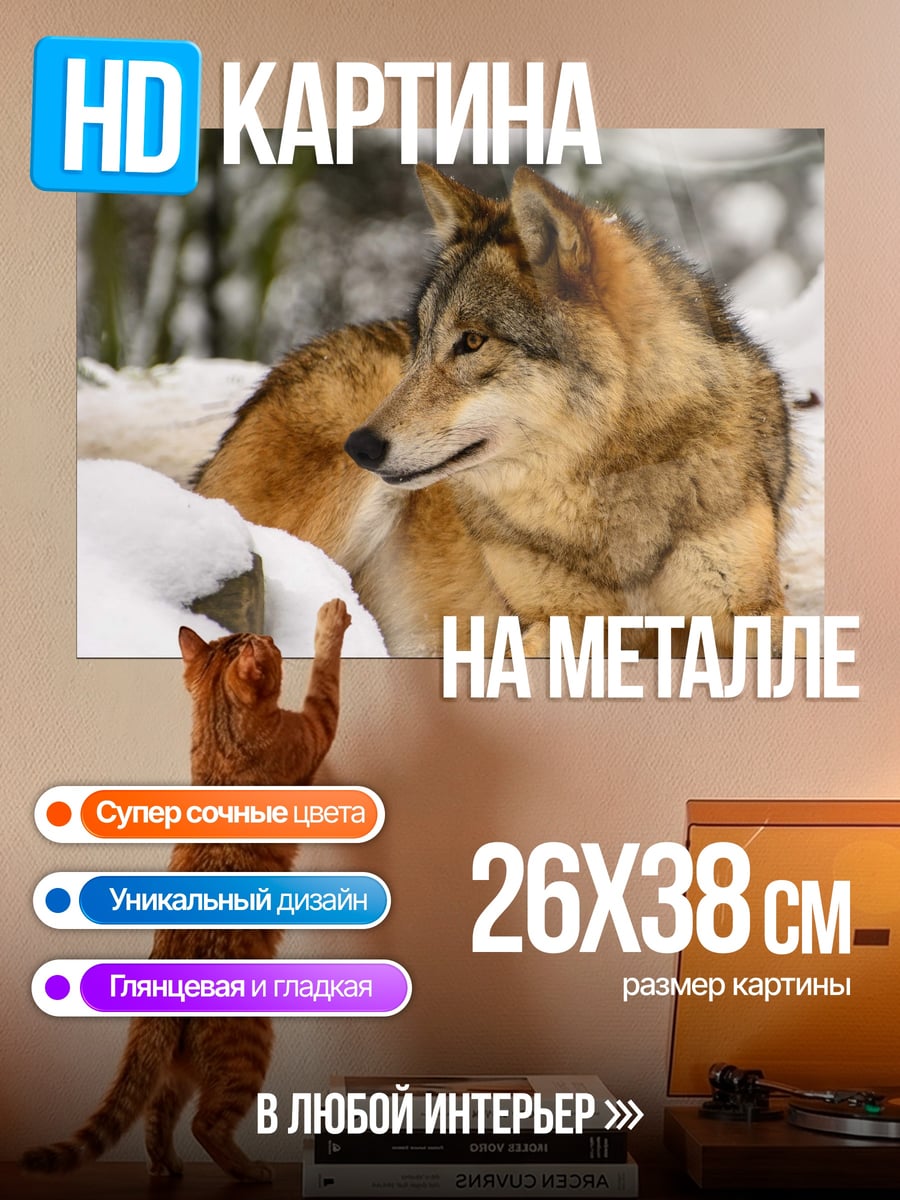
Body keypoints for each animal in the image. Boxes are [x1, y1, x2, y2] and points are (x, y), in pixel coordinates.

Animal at [196, 165, 795, 657]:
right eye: (424, 338)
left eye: (472, 341)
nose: (360, 446)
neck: (610, 482)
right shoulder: (547, 621)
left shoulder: (747, 612)